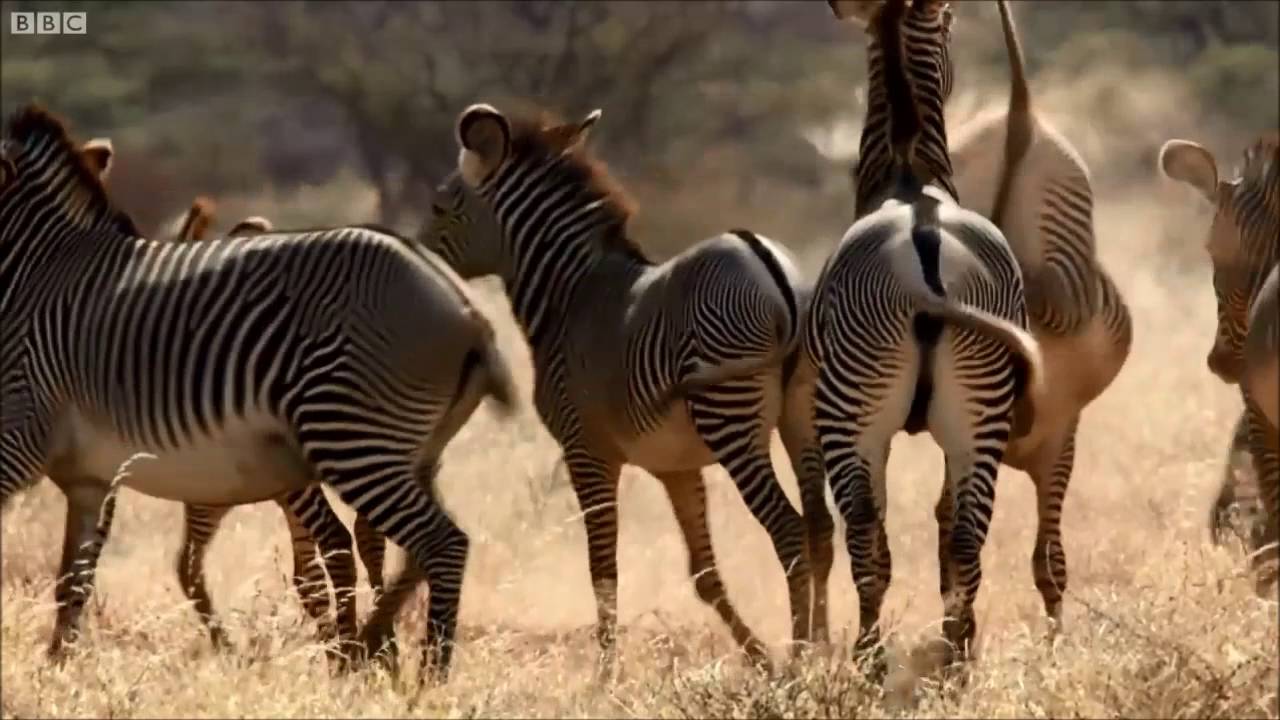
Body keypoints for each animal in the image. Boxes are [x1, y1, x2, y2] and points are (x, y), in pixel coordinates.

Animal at [0, 105, 517, 683]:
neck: (35, 274)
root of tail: (465, 308)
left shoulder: (20, 433)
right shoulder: (90, 479)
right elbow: (73, 582)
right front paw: (57, 671)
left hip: (353, 441)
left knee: (440, 544)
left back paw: (424, 674)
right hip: (410, 453)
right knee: (409, 551)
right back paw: (372, 646)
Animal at [414, 103, 816, 676]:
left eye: (440, 206)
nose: (412, 265)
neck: (569, 296)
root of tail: (768, 265)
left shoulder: (587, 452)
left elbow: (602, 573)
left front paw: (603, 677)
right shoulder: (676, 466)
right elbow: (704, 574)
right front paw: (759, 659)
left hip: (732, 422)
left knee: (789, 531)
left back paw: (803, 658)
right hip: (801, 416)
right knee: (822, 531)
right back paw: (825, 650)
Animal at [805, 0, 1045, 672]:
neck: (909, 176)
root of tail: (925, 239)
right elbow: (942, 520)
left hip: (850, 416)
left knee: (867, 533)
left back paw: (870, 658)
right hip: (980, 414)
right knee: (964, 533)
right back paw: (956, 655)